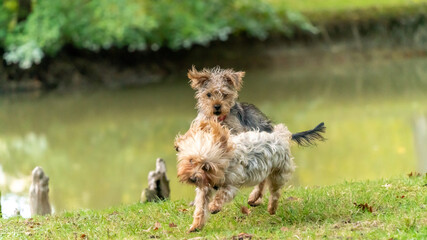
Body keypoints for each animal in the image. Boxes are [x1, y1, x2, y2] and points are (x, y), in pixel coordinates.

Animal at [176, 120, 326, 232]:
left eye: (207, 167)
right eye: (191, 160)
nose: (193, 178)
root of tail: (280, 135)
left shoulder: (231, 184)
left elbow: (221, 195)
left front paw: (214, 206)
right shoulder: (204, 189)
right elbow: (200, 208)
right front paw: (196, 225)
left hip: (278, 173)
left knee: (275, 192)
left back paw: (271, 208)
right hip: (263, 170)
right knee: (262, 182)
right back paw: (254, 198)